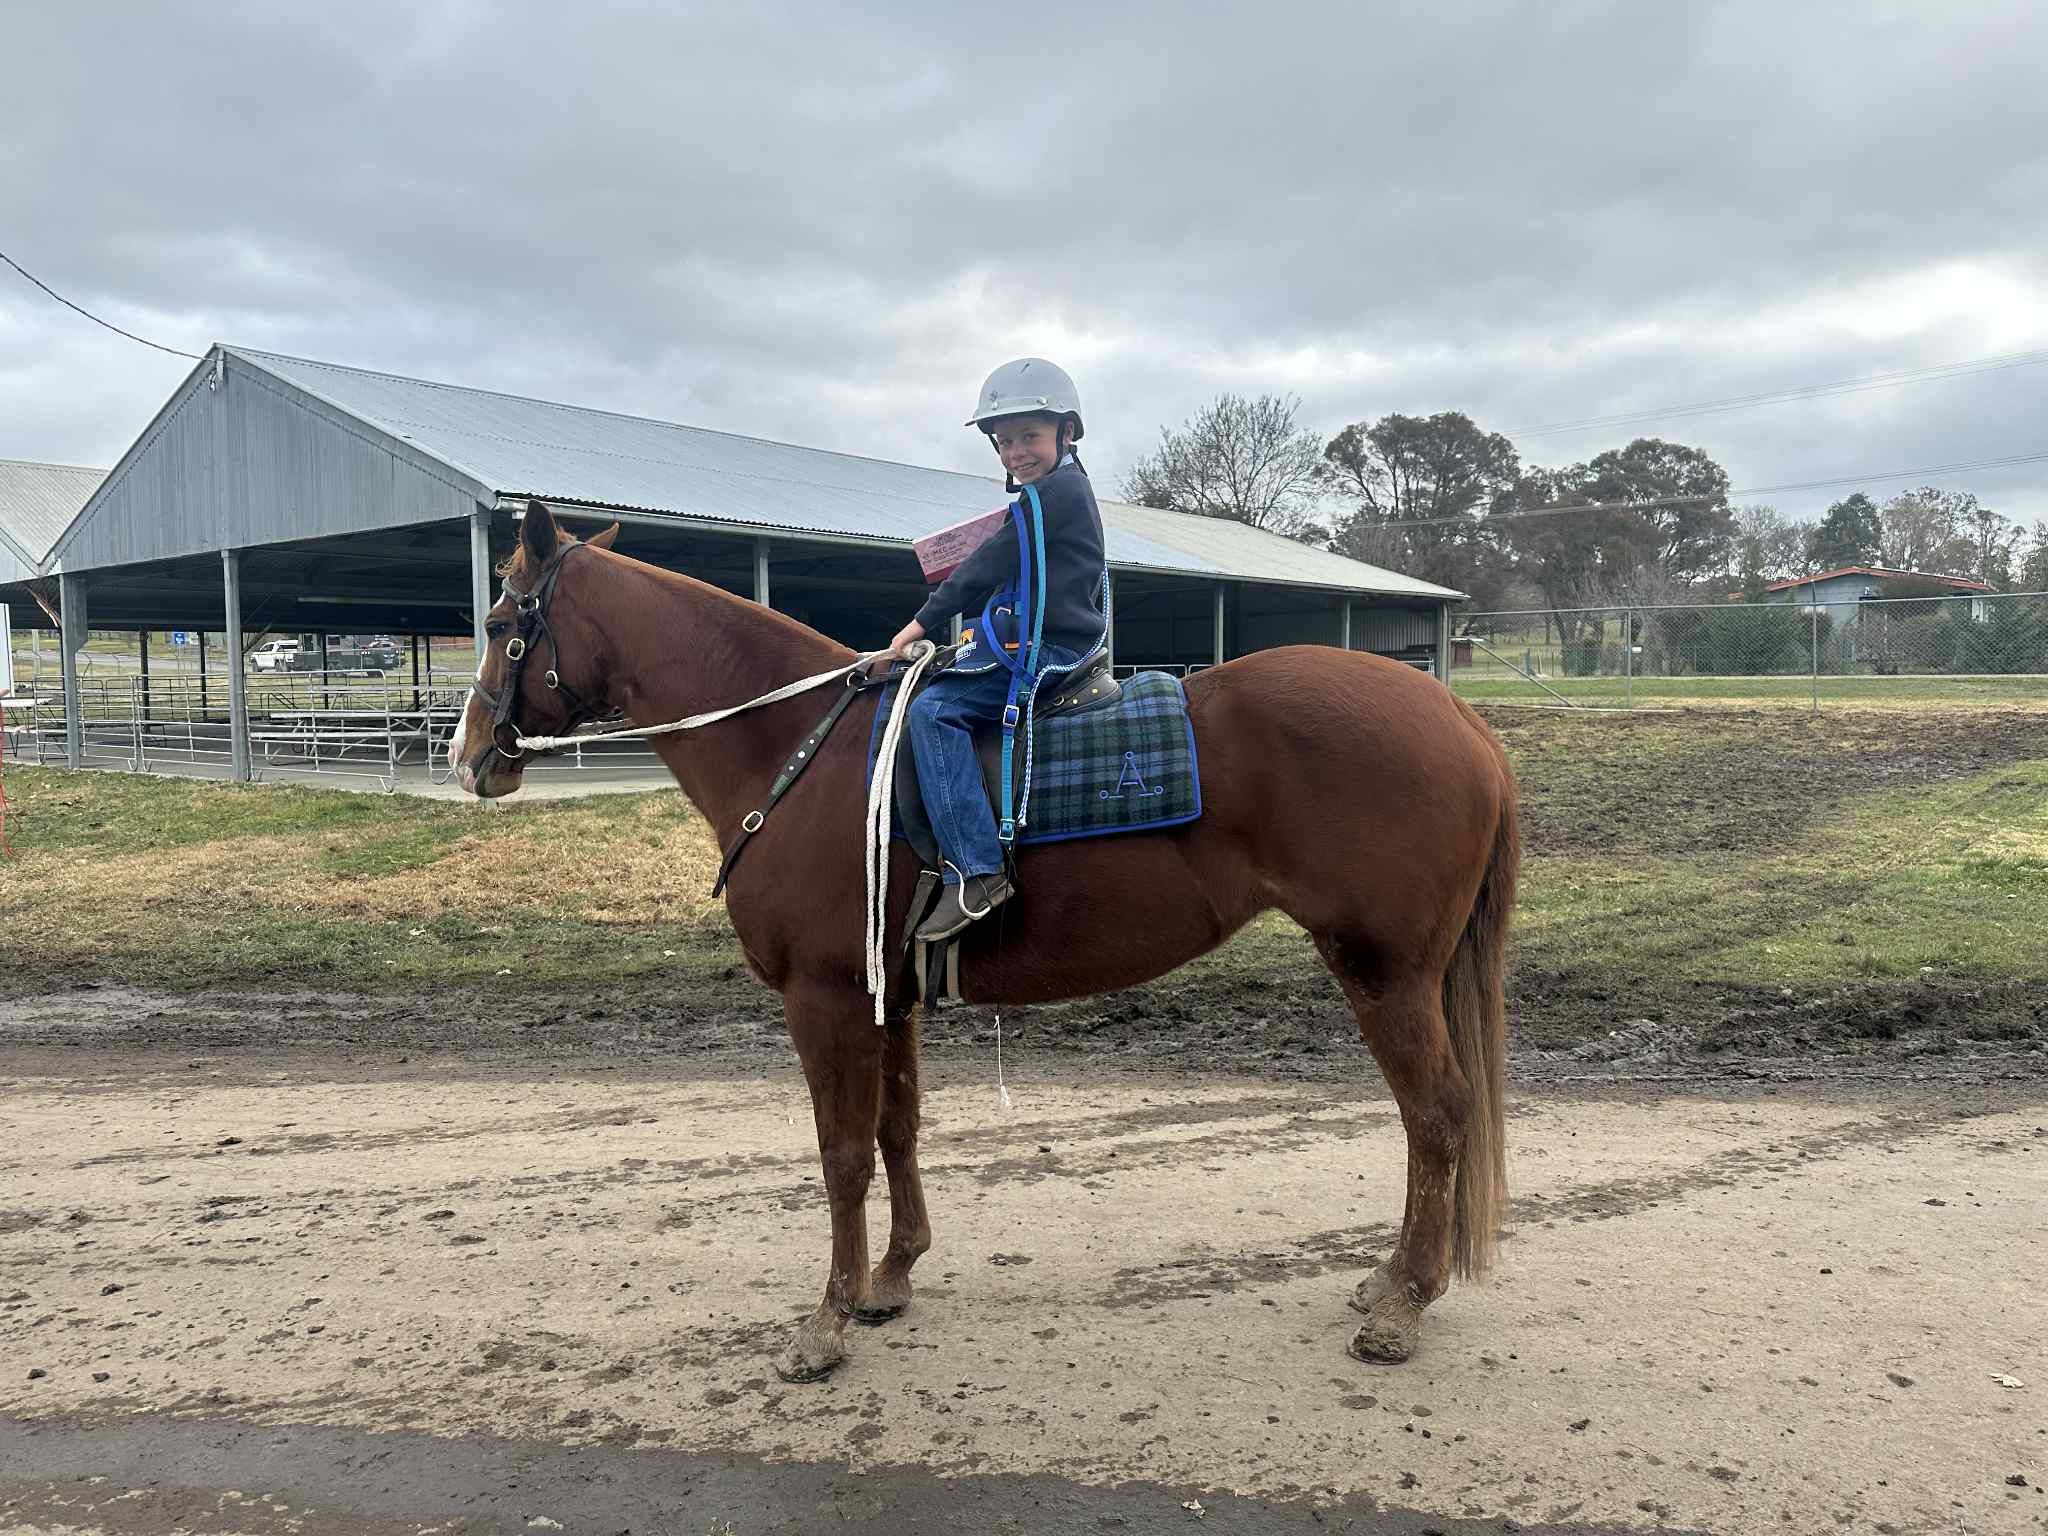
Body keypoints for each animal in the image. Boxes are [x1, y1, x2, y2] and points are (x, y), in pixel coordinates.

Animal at [449, 501, 1520, 1384]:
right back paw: (1390, 1278)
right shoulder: (887, 993)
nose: (467, 759)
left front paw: (825, 1322)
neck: (801, 748)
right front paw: (891, 1276)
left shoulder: (824, 997)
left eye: (501, 625)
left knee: (1437, 1115)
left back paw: (1403, 1303)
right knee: (1429, 1119)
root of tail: (1460, 718)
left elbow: (842, 1153)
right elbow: (898, 1129)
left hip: (1384, 972)